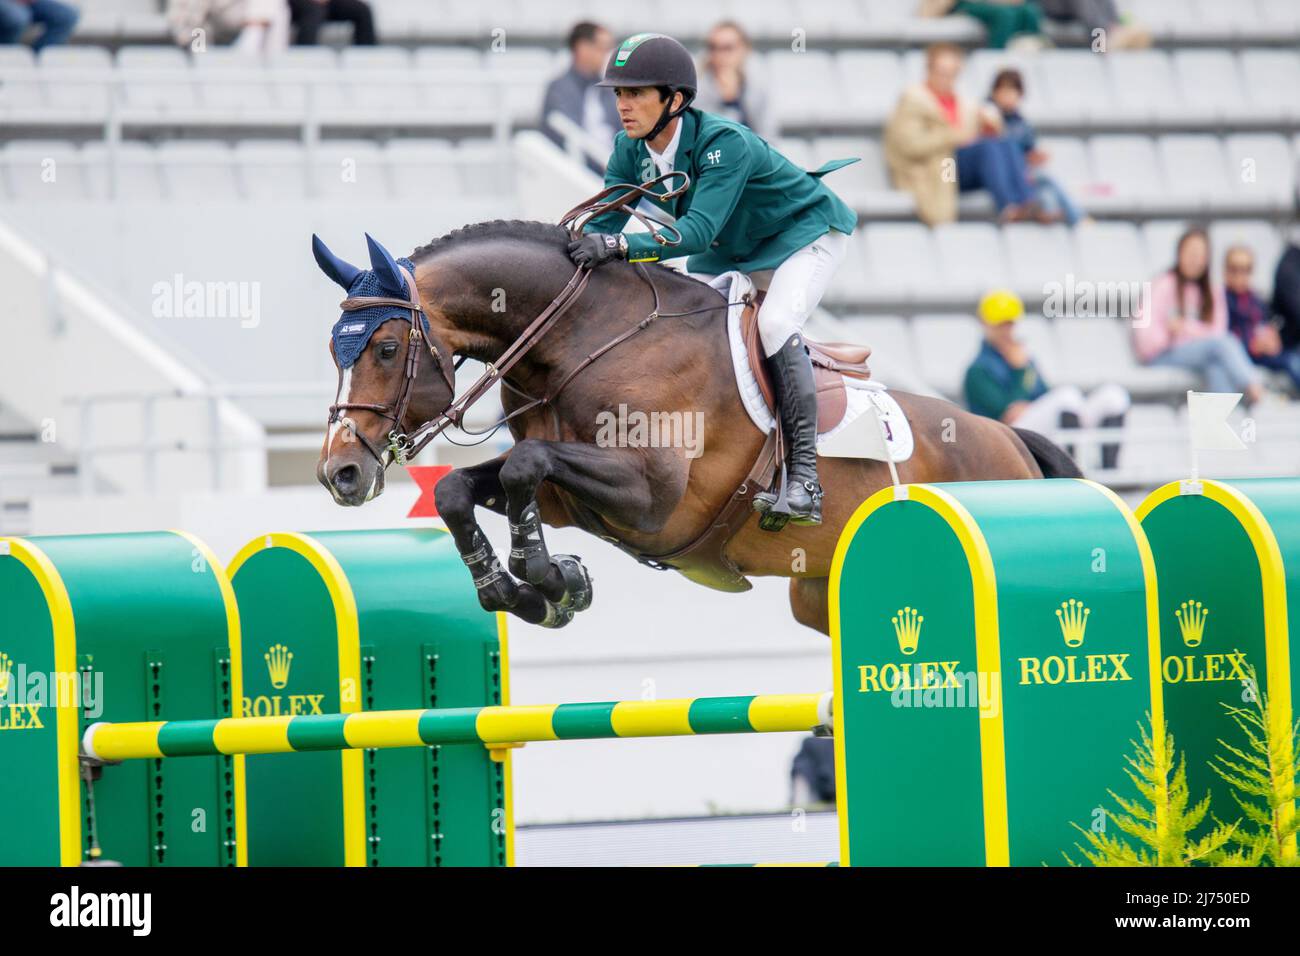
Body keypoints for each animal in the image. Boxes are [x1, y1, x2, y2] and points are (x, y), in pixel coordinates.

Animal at [313, 224, 1080, 636]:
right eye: (333, 351)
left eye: (386, 350)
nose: (339, 474)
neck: (579, 336)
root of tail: (1010, 438)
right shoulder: (567, 497)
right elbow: (465, 489)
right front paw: (529, 594)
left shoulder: (652, 496)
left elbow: (524, 464)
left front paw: (555, 579)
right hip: (815, 597)